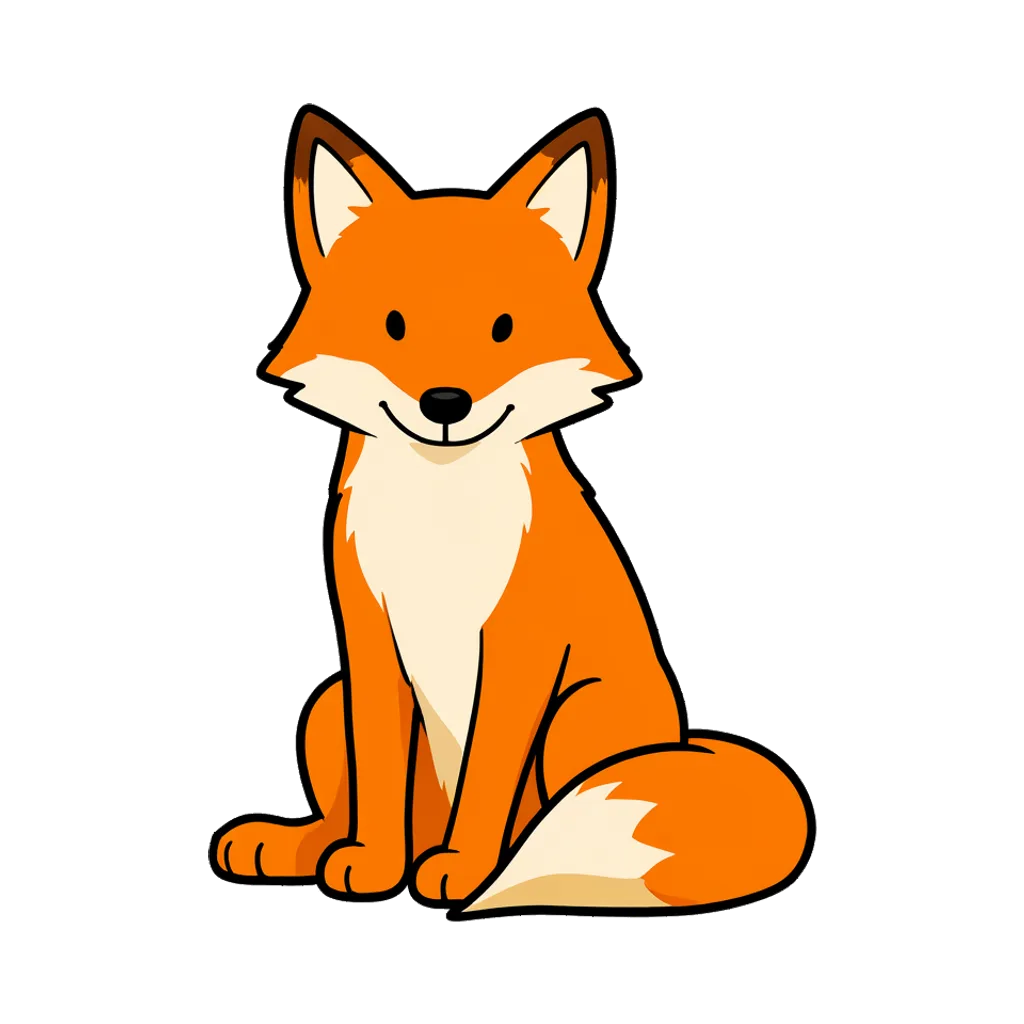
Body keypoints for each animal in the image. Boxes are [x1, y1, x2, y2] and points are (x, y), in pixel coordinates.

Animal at [211, 106, 814, 915]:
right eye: (393, 324)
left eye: (503, 327)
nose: (445, 404)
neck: (441, 521)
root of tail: (685, 744)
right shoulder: (369, 638)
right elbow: (377, 776)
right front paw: (373, 865)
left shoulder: (519, 646)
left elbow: (490, 783)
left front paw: (465, 870)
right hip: (326, 706)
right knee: (361, 800)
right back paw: (303, 847)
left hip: (576, 720)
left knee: (535, 814)